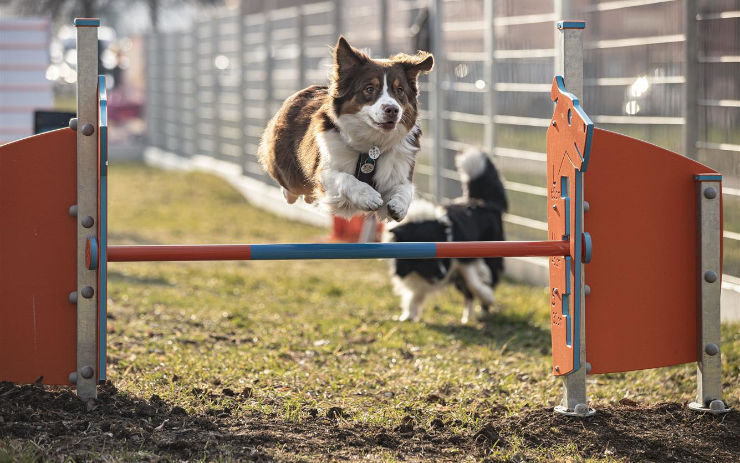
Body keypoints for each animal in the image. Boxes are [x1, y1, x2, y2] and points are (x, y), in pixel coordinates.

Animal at [384, 150, 506, 324]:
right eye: (422, 257)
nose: (442, 275)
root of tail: (483, 202)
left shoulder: (464, 258)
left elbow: (474, 282)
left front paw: (487, 296)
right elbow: (414, 294)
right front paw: (409, 315)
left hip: (492, 255)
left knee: (484, 281)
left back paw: (483, 308)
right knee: (467, 294)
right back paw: (467, 317)